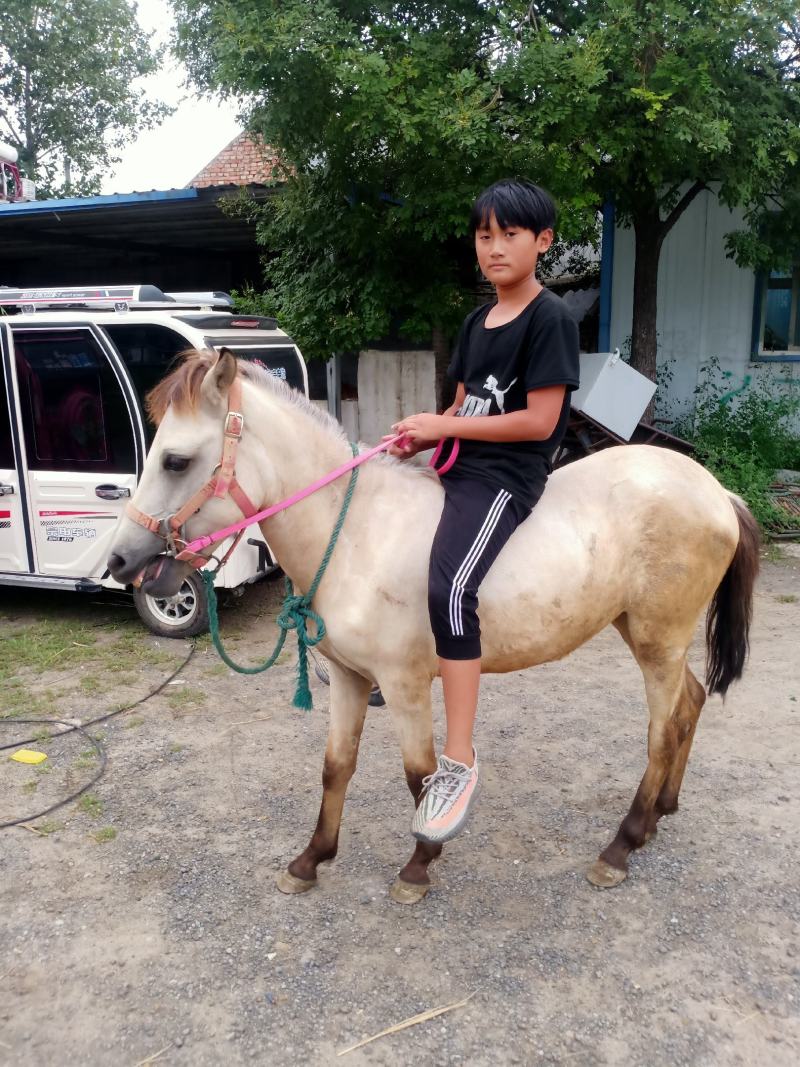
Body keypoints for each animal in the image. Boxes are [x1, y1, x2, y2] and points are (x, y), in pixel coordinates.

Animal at [108, 349, 760, 905]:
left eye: (175, 460)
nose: (120, 562)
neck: (358, 533)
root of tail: (716, 492)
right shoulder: (350, 678)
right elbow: (335, 766)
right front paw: (311, 860)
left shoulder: (403, 684)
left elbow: (420, 774)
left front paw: (420, 862)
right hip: (649, 636)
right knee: (690, 705)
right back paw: (661, 813)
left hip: (657, 641)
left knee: (662, 731)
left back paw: (622, 845)